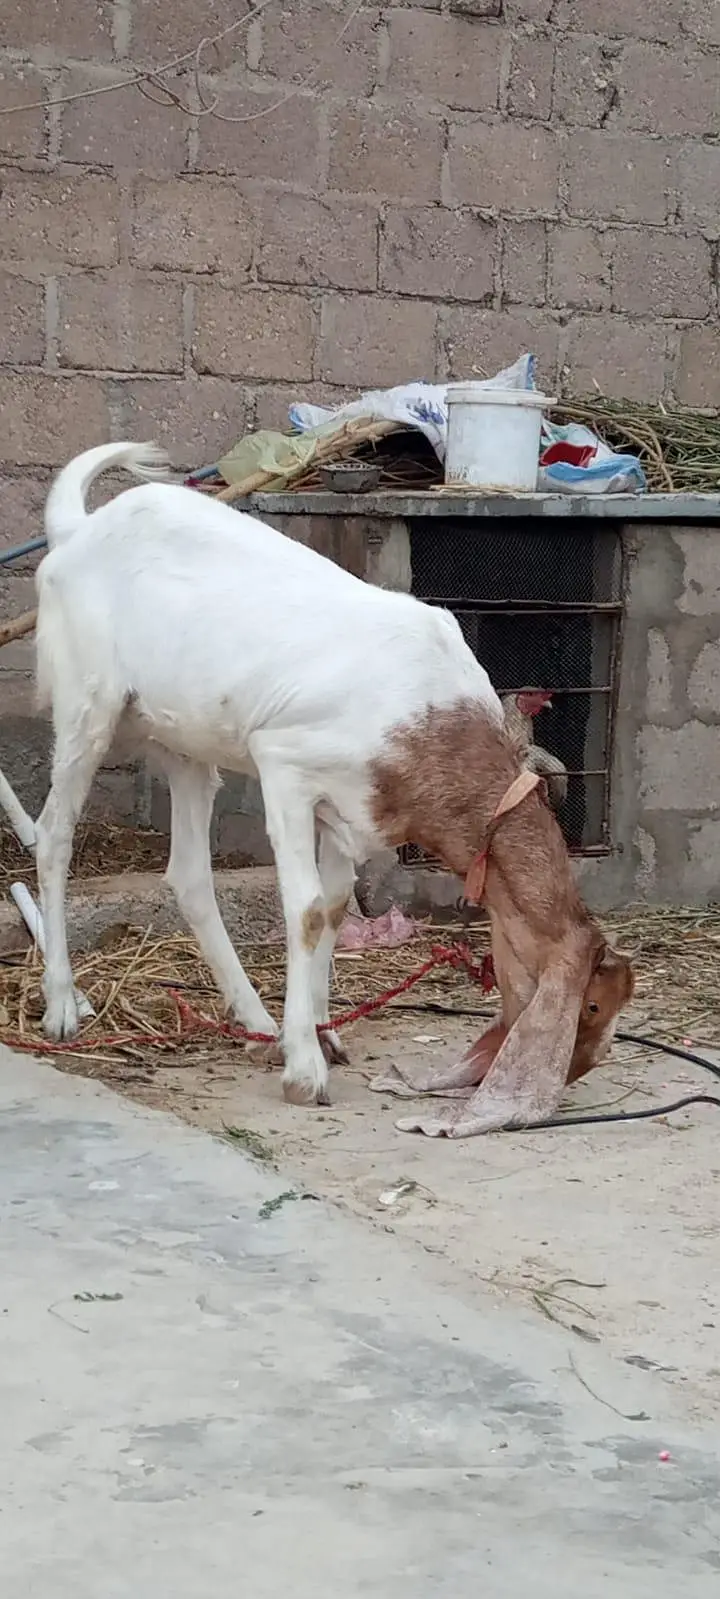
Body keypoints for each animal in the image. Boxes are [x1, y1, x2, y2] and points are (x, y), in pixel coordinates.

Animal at [34, 443, 634, 1134]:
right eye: (590, 1007)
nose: (577, 1071)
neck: (428, 720)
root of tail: (77, 532)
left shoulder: (347, 810)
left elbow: (339, 905)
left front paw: (320, 1033)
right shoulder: (285, 768)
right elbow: (308, 909)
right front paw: (305, 1069)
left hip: (186, 743)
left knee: (188, 873)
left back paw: (255, 1022)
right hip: (87, 702)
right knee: (53, 835)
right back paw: (63, 1006)